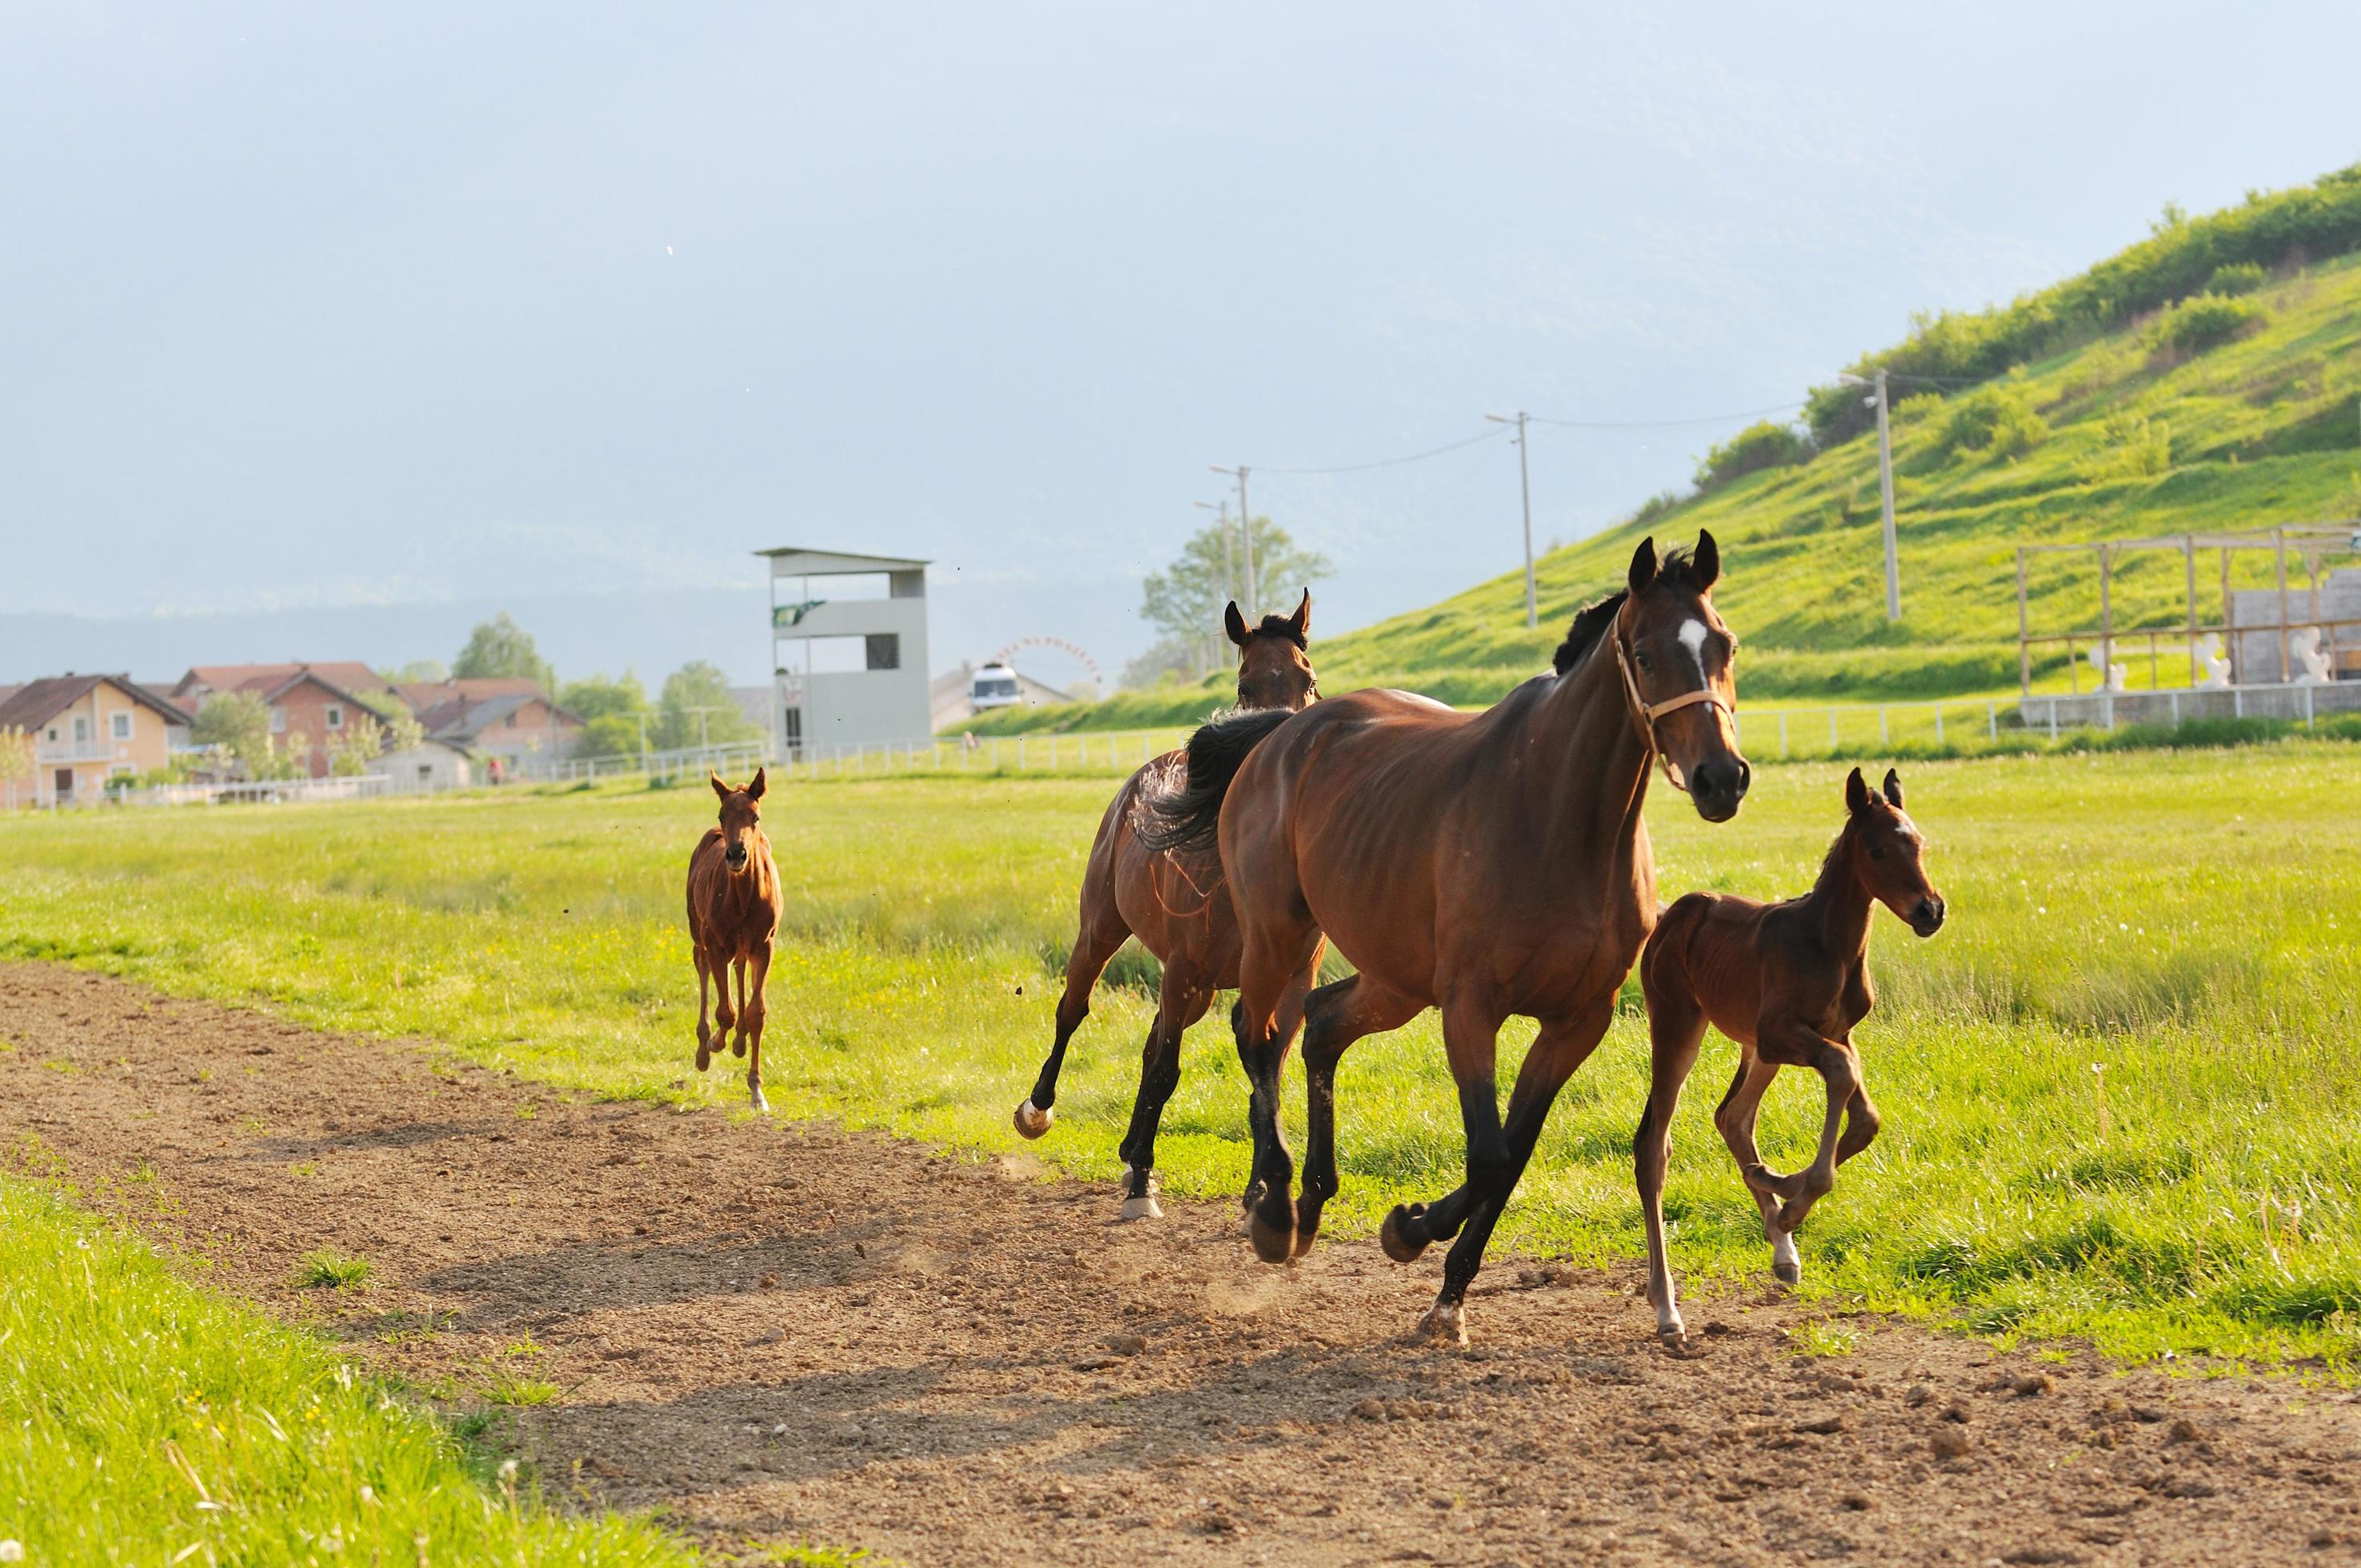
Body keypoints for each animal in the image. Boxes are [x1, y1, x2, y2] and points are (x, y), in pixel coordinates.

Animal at [689, 770, 788, 1114]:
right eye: (722, 814)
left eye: (755, 817)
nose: (736, 854)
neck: (744, 896)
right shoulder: (716, 944)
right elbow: (725, 1012)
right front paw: (715, 1043)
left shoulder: (764, 947)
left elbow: (756, 1013)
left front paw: (757, 1090)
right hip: (699, 934)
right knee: (702, 967)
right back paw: (705, 1047)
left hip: (745, 947)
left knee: (741, 968)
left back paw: (740, 1041)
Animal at [1006, 594, 1322, 1218]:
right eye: (1245, 683)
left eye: (1308, 678)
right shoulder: (1183, 967)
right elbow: (1167, 1070)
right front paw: (1141, 1187)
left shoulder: (1291, 978)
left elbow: (1265, 1069)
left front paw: (1261, 1189)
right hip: (1104, 930)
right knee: (1075, 1011)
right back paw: (1044, 1114)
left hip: (1198, 988)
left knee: (1154, 1038)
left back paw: (1133, 1151)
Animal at [1142, 538, 1756, 1350]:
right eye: (1648, 654)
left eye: (1724, 643)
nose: (1722, 778)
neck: (1560, 817)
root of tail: (1277, 738)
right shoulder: (1470, 1008)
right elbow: (1490, 1153)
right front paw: (1410, 1232)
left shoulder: (1577, 1021)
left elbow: (1513, 1156)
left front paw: (1442, 1281)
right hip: (1279, 933)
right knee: (1260, 1032)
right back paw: (1275, 1211)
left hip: (1395, 978)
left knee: (1322, 1026)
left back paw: (1312, 1200)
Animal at [1634, 765, 1945, 1341]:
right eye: (1875, 851)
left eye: (1918, 843)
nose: (1930, 910)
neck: (1828, 945)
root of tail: (1670, 916)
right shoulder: (1780, 1033)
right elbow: (1841, 1075)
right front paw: (1793, 1201)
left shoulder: (1836, 1032)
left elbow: (1863, 1114)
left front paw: (1779, 1198)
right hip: (1681, 1026)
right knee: (1653, 1146)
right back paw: (1667, 1307)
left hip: (1757, 1053)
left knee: (1732, 1117)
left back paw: (1781, 1245)